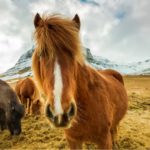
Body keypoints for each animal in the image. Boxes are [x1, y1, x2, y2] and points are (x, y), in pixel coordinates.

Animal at [31, 12, 127, 149]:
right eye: (41, 53)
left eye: (73, 54)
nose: (60, 113)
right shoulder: (73, 140)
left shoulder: (104, 140)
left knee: (114, 130)